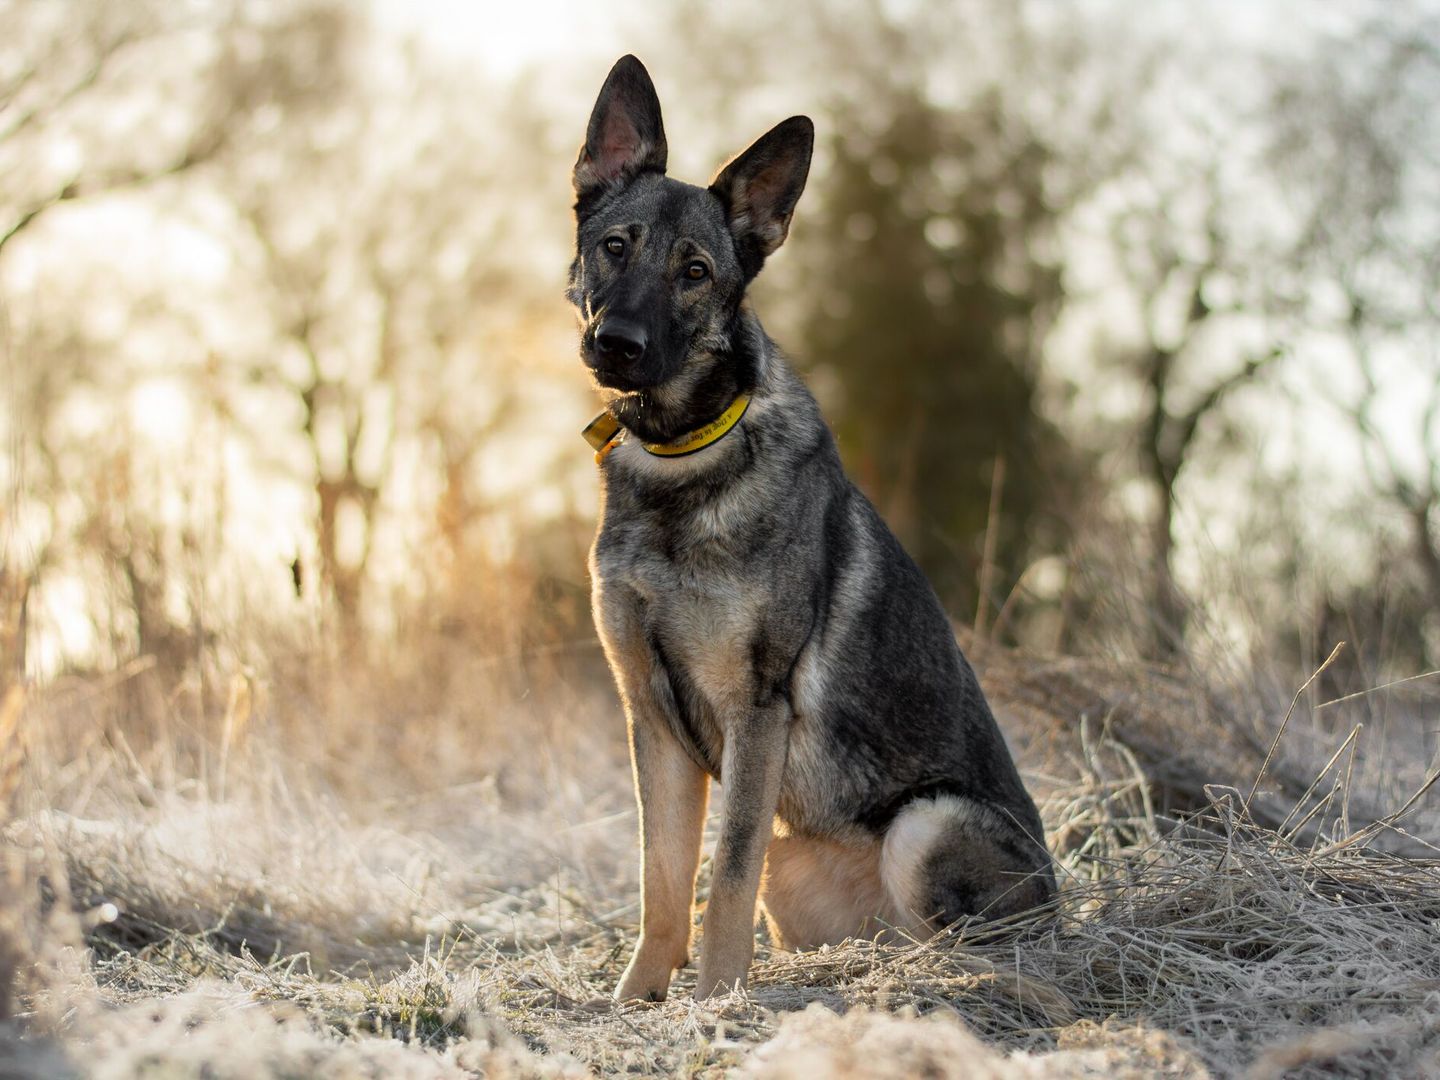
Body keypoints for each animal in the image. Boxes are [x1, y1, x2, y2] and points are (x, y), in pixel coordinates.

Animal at [567, 55, 1054, 1002]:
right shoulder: (651, 718)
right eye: (616, 246)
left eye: (695, 271)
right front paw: (638, 1000)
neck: (683, 458)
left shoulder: (755, 710)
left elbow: (722, 875)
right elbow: (662, 879)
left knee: (963, 941)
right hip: (793, 875)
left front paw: (715, 1002)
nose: (619, 345)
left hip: (928, 825)